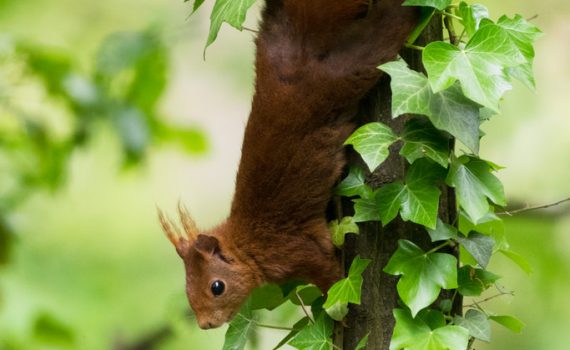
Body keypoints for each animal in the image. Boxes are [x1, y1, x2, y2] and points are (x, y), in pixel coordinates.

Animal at [160, 0, 418, 330]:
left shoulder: (296, 250)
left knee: (388, 29)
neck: (248, 245)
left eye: (217, 286)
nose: (205, 324)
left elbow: (331, 277)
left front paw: (341, 315)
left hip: (350, 68)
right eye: (186, 289)